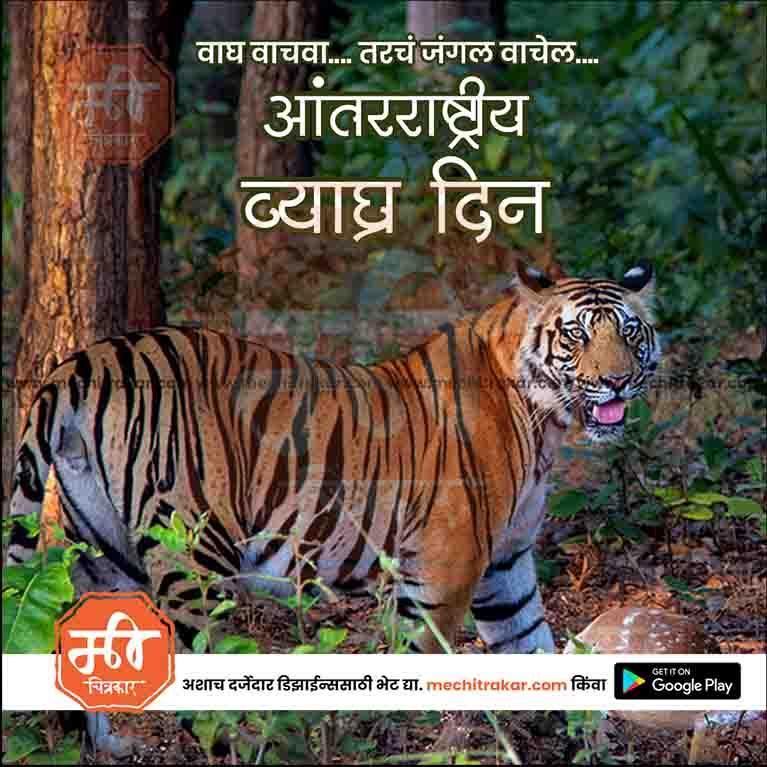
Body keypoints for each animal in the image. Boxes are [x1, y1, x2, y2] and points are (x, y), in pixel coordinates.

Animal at [8, 260, 659, 657]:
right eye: (576, 335)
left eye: (629, 334)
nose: (618, 381)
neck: (543, 420)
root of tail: (82, 362)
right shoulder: (444, 567)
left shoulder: (507, 563)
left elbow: (530, 644)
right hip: (194, 552)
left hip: (102, 552)